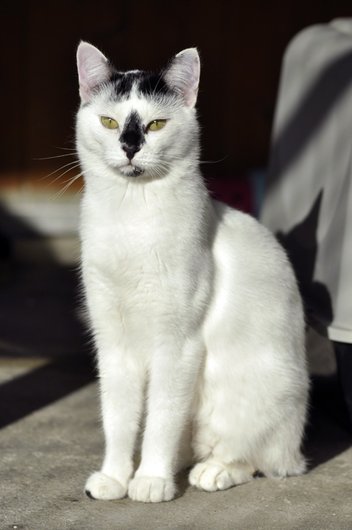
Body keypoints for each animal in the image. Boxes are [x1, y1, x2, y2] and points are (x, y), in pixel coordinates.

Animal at [76, 41, 308, 500]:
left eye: (157, 124)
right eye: (109, 122)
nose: (130, 148)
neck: (131, 217)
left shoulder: (178, 345)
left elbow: (162, 419)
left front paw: (150, 480)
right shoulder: (114, 343)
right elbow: (118, 418)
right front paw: (115, 477)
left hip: (256, 396)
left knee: (253, 459)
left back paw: (211, 472)